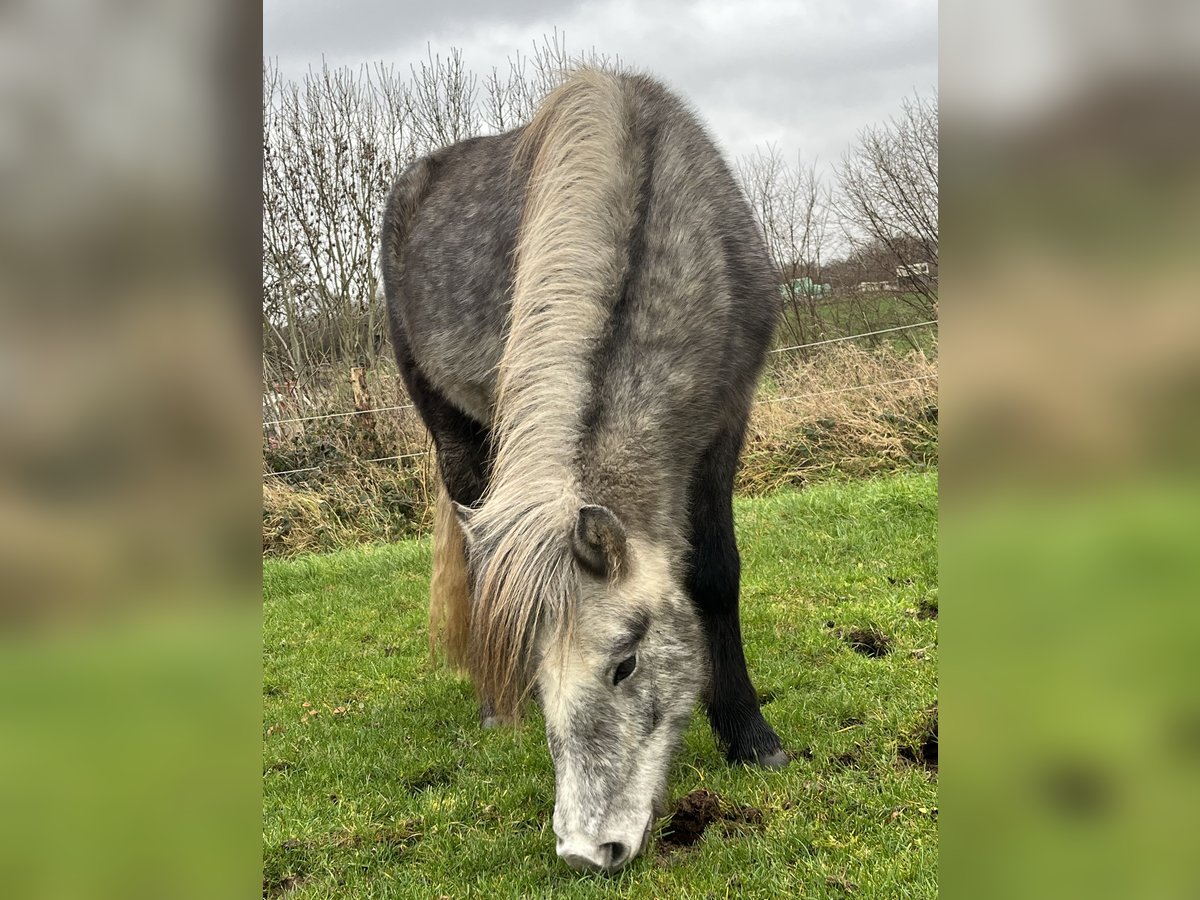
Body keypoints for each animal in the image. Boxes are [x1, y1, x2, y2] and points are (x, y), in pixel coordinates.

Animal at [380, 68, 786, 873]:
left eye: (625, 664)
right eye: (544, 679)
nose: (586, 849)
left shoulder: (728, 418)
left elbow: (716, 574)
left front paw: (751, 736)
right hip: (452, 428)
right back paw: (490, 708)